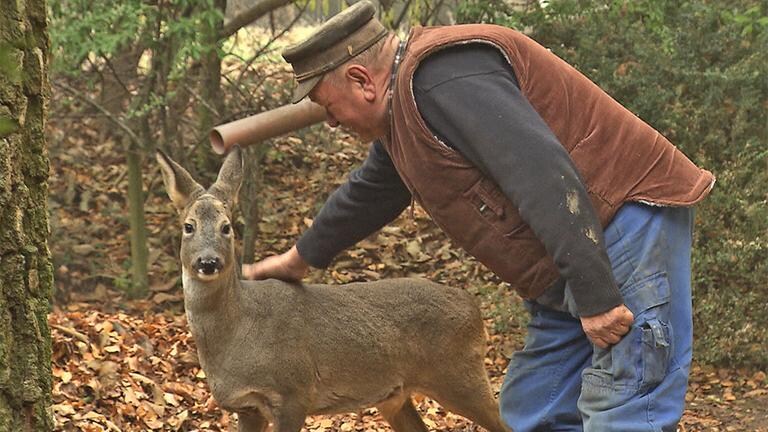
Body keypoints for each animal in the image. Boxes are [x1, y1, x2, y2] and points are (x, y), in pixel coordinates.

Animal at [156, 146, 511, 432]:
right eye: (189, 226)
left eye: (226, 227)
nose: (208, 262)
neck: (236, 334)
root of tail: (472, 306)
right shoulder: (247, 407)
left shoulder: (294, 392)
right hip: (396, 395)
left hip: (459, 375)